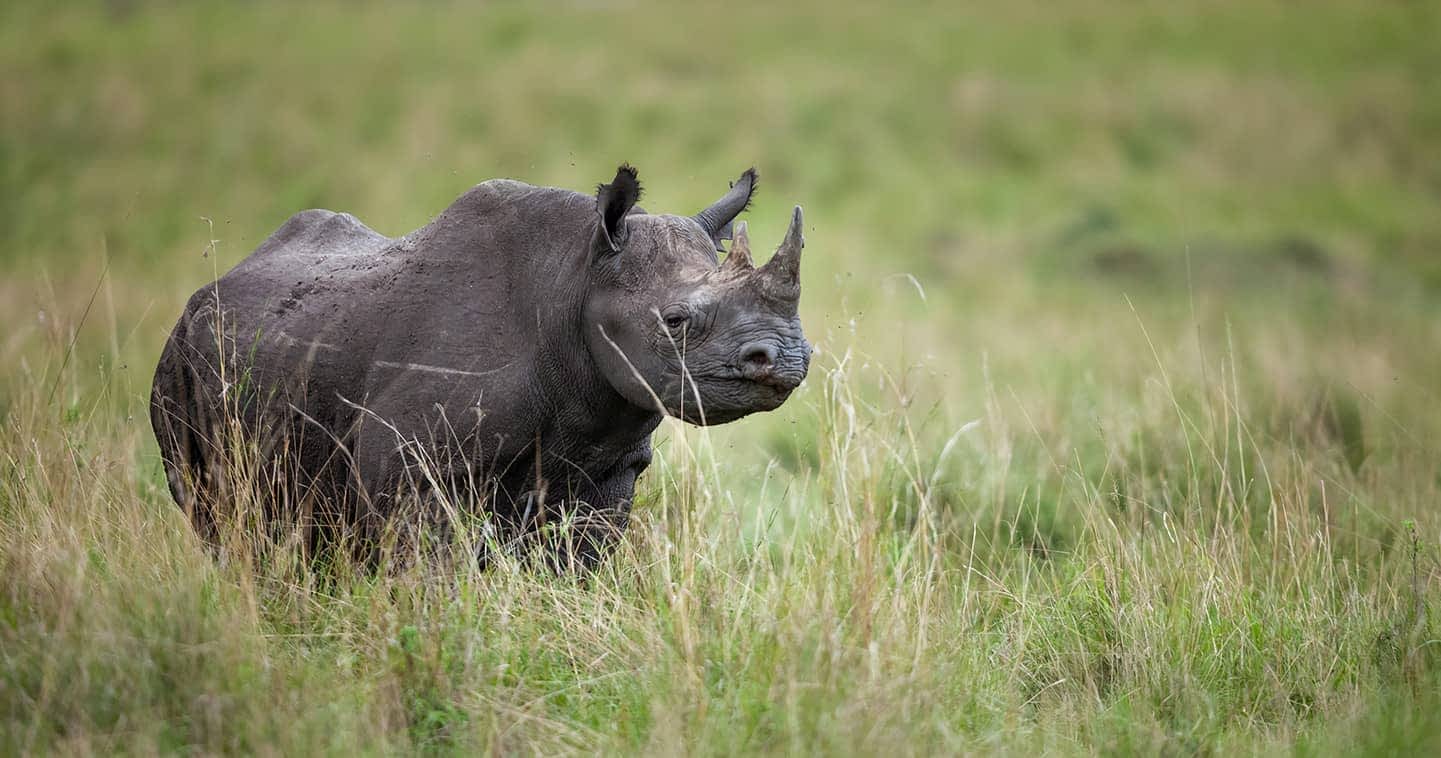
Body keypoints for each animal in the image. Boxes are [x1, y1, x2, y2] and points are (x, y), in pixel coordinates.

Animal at [150, 165, 810, 568]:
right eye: (674, 321)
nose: (786, 357)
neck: (576, 279)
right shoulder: (407, 458)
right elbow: (429, 571)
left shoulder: (609, 463)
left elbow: (578, 564)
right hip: (178, 362)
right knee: (214, 516)